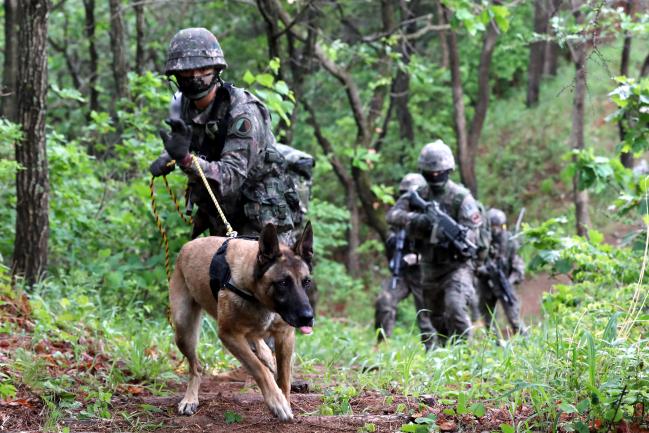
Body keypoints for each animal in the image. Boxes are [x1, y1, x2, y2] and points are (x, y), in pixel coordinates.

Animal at [170, 223, 314, 418]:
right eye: (283, 283)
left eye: (306, 282)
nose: (308, 317)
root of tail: (187, 246)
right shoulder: (229, 335)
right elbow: (258, 368)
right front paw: (277, 401)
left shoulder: (285, 336)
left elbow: (284, 378)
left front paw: (285, 400)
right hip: (183, 330)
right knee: (196, 368)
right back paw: (190, 399)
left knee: (259, 344)